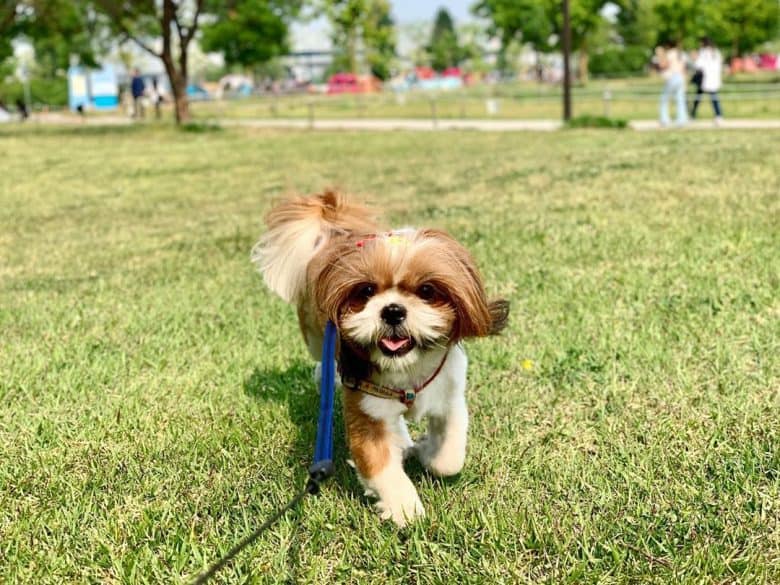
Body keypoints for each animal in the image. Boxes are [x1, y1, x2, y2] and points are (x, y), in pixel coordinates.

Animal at [253, 190, 508, 524]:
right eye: (366, 291)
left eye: (427, 290)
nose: (393, 310)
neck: (407, 371)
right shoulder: (366, 413)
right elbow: (382, 467)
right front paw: (405, 508)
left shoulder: (449, 395)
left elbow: (449, 458)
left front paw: (427, 451)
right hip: (315, 337)